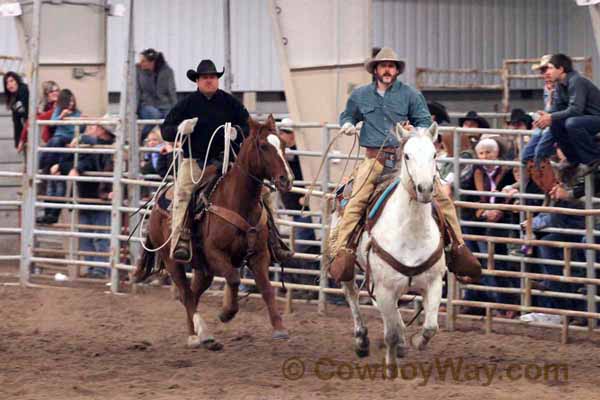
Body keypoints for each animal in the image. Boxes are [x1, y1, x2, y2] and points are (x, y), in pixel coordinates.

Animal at [137, 114, 296, 348]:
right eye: (263, 146)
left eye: (283, 145)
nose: (287, 179)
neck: (237, 202)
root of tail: (156, 203)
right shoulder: (215, 254)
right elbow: (234, 278)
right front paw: (226, 312)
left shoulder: (259, 255)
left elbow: (266, 288)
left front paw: (279, 328)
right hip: (172, 260)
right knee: (186, 295)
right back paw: (201, 334)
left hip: (203, 269)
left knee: (192, 294)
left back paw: (194, 334)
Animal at [340, 122, 448, 376]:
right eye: (407, 155)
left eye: (434, 154)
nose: (425, 189)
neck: (411, 232)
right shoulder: (384, 288)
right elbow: (389, 334)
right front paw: (390, 369)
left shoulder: (434, 282)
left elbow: (431, 326)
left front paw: (417, 341)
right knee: (352, 294)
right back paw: (362, 341)